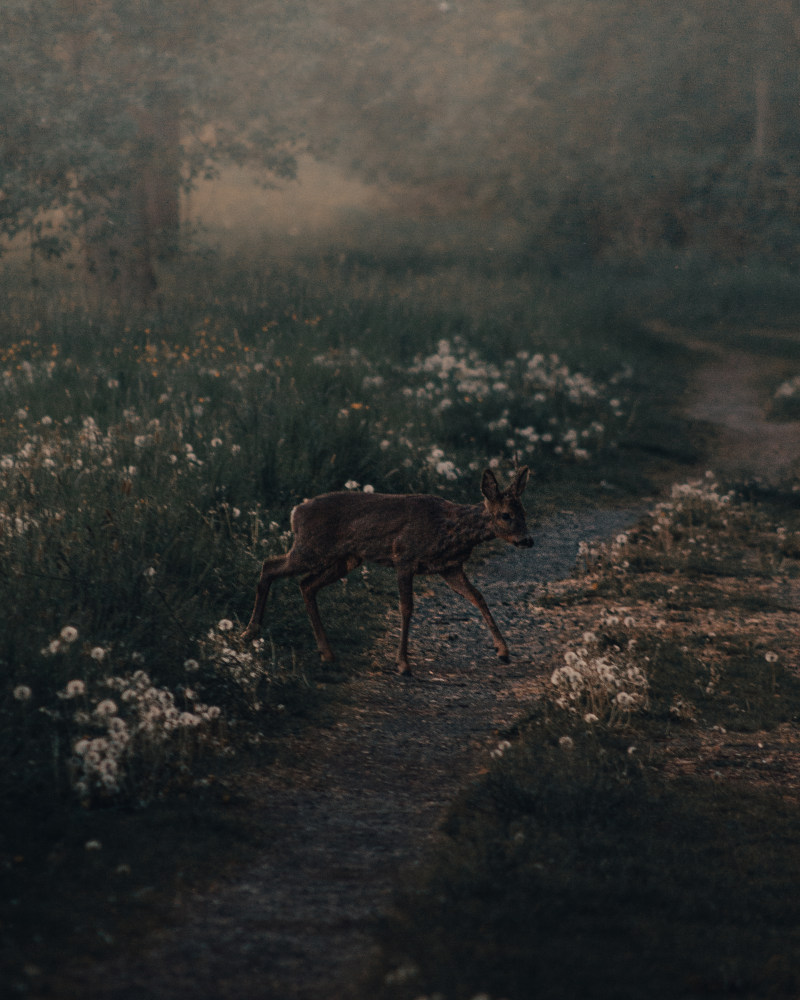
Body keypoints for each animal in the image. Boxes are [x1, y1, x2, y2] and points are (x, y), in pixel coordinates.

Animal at [241, 466, 536, 672]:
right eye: (505, 515)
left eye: (524, 512)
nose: (527, 540)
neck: (450, 529)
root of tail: (295, 512)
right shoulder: (404, 557)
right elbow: (407, 608)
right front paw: (403, 664)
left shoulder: (449, 567)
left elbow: (478, 597)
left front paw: (503, 650)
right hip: (310, 548)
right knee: (269, 566)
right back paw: (250, 632)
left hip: (345, 559)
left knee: (306, 585)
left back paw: (327, 652)